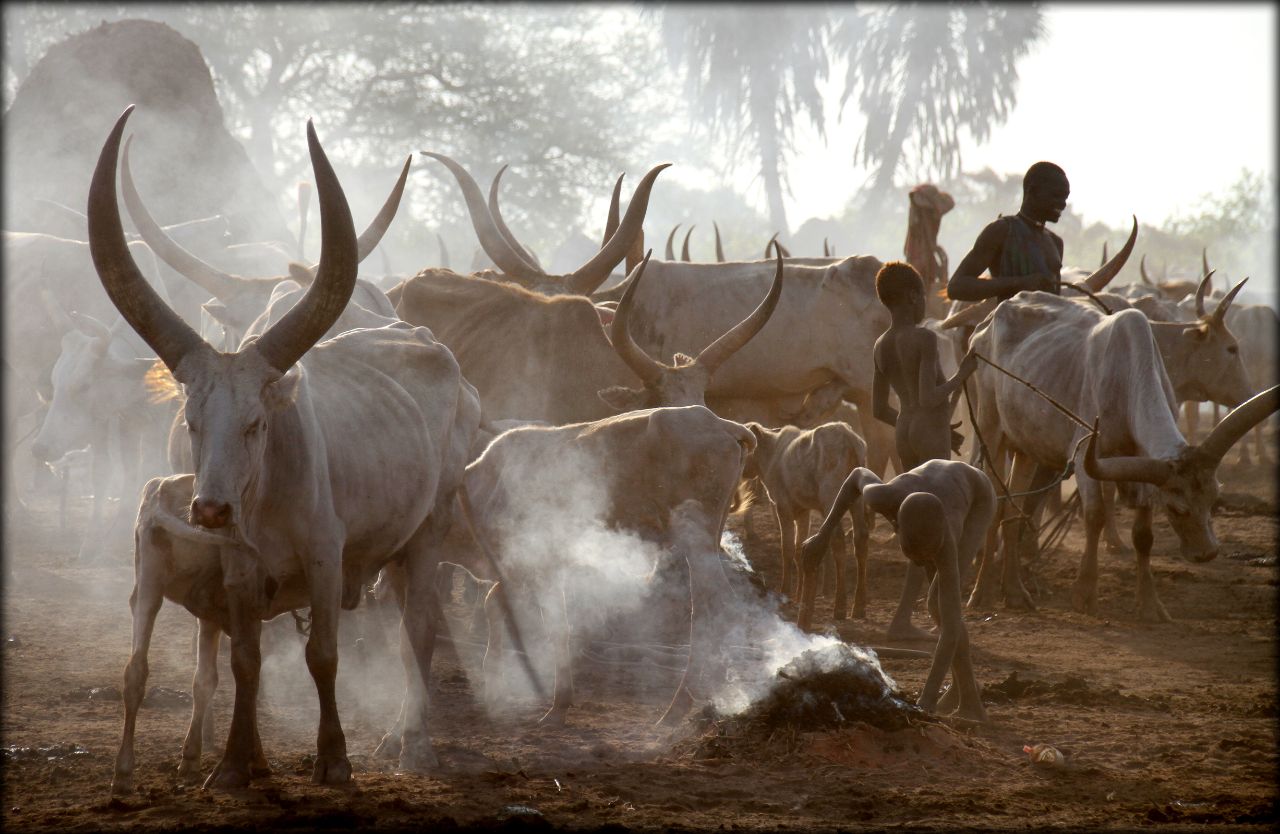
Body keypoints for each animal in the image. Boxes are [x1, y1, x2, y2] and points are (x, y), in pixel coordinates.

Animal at [92, 107, 478, 793]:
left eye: (255, 423)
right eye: (192, 420)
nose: (210, 509)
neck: (266, 495)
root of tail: (435, 349)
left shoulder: (326, 557)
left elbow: (322, 657)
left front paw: (334, 758)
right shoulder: (240, 569)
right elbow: (245, 659)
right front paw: (234, 764)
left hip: (429, 530)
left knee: (419, 630)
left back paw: (412, 743)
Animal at [742, 424, 870, 624]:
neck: (772, 454)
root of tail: (847, 436)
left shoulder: (783, 509)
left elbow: (786, 549)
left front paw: (785, 592)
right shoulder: (803, 512)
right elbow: (797, 549)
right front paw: (799, 593)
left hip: (832, 498)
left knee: (838, 542)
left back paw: (840, 607)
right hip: (855, 498)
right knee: (860, 539)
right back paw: (858, 606)